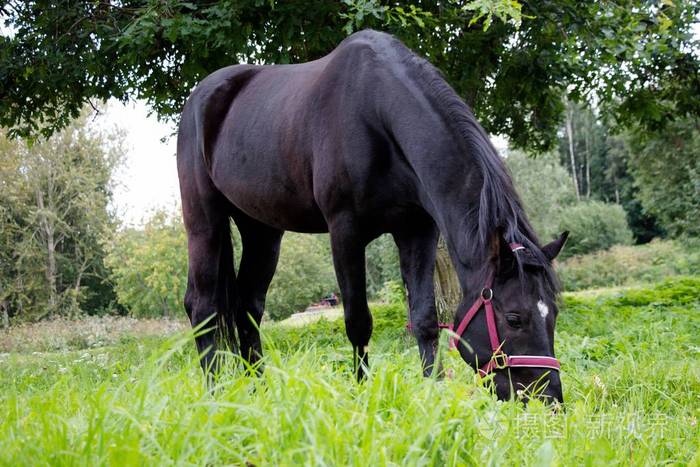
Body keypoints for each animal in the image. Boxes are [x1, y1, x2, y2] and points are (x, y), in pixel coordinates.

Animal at [177, 29, 568, 402]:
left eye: (553, 312)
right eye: (514, 318)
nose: (548, 398)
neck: (378, 112)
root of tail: (201, 96)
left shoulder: (417, 231)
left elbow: (424, 319)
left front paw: (434, 393)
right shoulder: (345, 231)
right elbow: (359, 322)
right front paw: (362, 392)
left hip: (262, 231)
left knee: (248, 307)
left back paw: (256, 391)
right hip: (204, 223)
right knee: (204, 307)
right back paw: (215, 393)